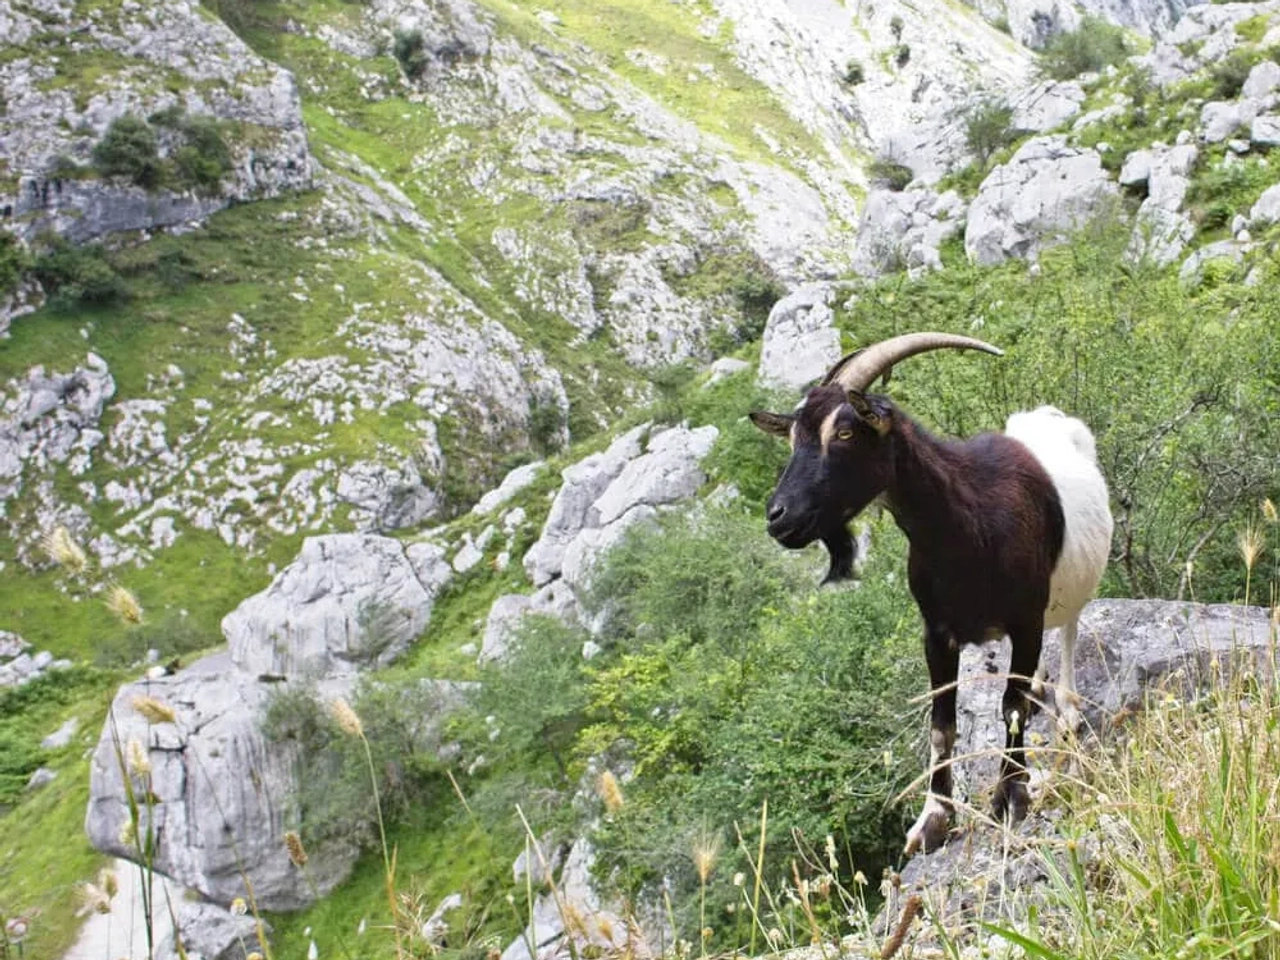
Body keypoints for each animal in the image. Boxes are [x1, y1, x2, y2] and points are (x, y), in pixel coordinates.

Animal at [749, 333, 1112, 855]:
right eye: (795, 436)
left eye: (845, 433)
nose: (779, 516)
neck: (970, 525)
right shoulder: (936, 633)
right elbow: (942, 726)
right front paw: (933, 819)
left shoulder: (1024, 619)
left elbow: (1012, 709)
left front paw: (1011, 798)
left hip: (1069, 591)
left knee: (1068, 629)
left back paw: (1067, 708)